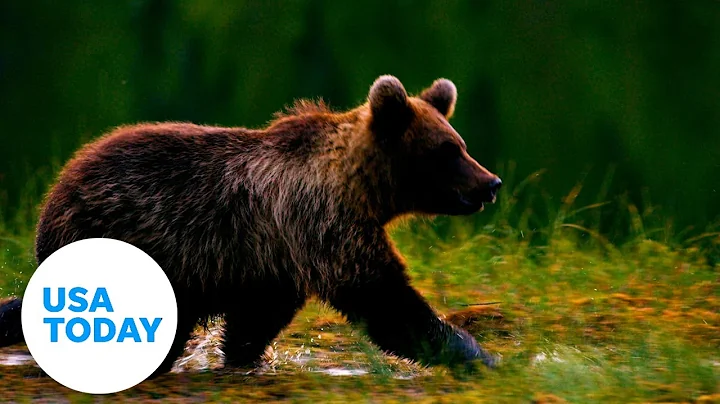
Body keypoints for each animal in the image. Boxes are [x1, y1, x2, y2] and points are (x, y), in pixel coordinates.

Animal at [0, 75, 502, 375]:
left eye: (459, 143)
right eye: (448, 151)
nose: (491, 182)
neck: (363, 190)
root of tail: (58, 188)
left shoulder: (275, 259)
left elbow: (256, 320)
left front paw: (243, 357)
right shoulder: (321, 226)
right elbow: (386, 300)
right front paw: (480, 354)